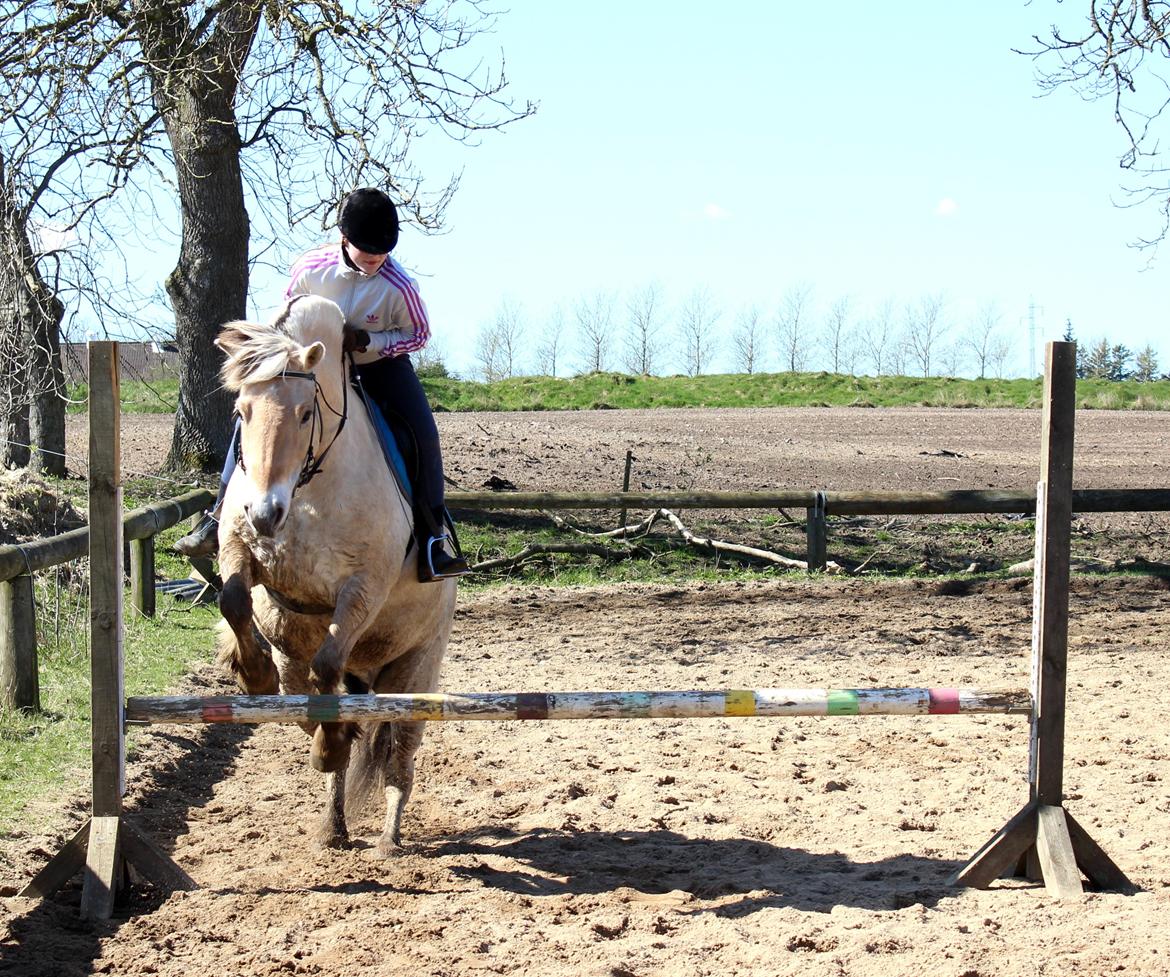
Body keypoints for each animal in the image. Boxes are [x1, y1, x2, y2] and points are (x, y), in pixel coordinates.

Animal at [211, 296, 456, 856]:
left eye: (306, 413)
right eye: (241, 413)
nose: (266, 514)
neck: (309, 487)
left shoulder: (361, 588)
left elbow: (328, 661)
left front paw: (329, 744)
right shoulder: (239, 548)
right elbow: (233, 601)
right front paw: (252, 673)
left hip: (415, 669)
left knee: (397, 755)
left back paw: (387, 836)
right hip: (319, 665)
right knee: (319, 705)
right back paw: (332, 823)